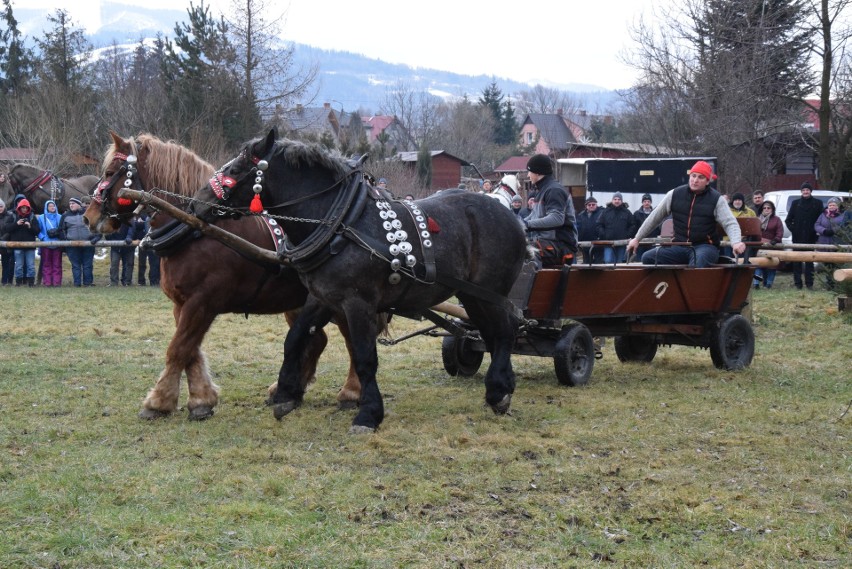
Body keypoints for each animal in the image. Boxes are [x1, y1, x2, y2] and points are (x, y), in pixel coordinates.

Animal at [86, 131, 362, 420]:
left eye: (110, 172)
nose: (88, 217)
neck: (197, 230)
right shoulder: (182, 304)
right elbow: (191, 352)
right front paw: (201, 400)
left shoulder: (202, 302)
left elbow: (178, 349)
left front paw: (158, 402)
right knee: (316, 340)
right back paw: (288, 390)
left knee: (352, 342)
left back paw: (351, 393)